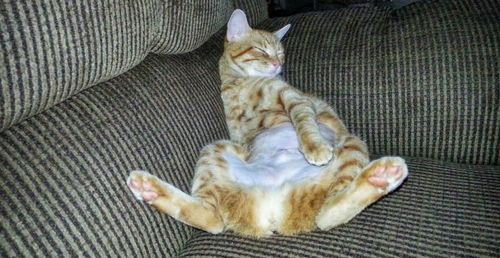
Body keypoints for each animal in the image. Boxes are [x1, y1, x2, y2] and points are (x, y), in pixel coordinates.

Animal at [127, 8, 408, 238]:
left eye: (281, 53)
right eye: (262, 51)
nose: (277, 64)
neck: (242, 82)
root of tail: (273, 211)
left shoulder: (295, 100)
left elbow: (304, 123)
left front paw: (314, 147)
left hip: (351, 143)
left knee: (326, 215)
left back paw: (382, 176)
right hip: (214, 150)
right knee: (213, 220)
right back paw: (148, 188)